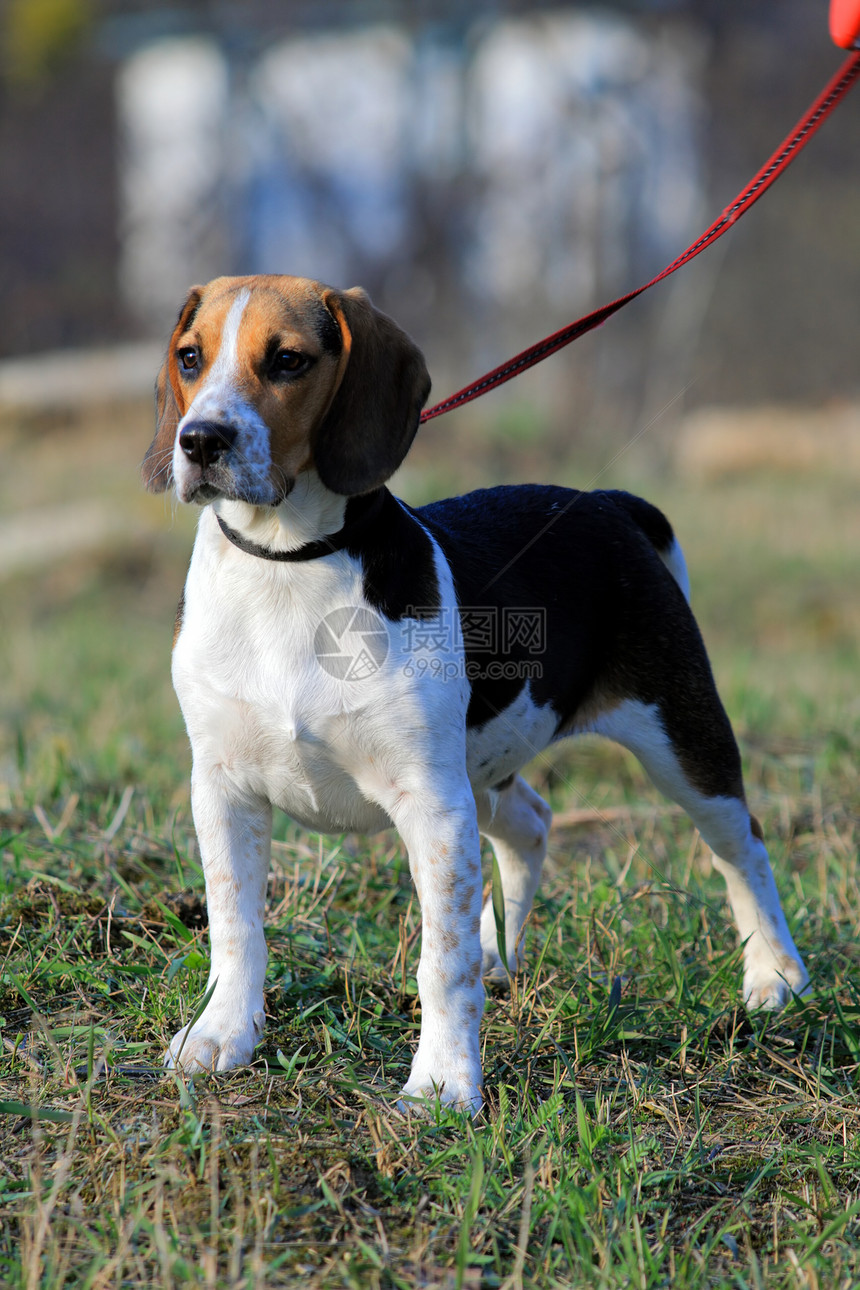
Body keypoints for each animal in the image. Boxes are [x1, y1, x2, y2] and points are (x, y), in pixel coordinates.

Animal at [144, 277, 809, 1114]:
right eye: (189, 358)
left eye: (288, 360)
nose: (199, 441)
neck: (287, 562)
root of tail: (606, 502)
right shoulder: (223, 789)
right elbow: (235, 929)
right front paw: (221, 1037)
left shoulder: (431, 803)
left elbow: (442, 961)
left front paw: (441, 1084)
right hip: (484, 774)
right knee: (532, 823)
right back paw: (502, 952)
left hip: (679, 745)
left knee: (741, 845)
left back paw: (776, 977)